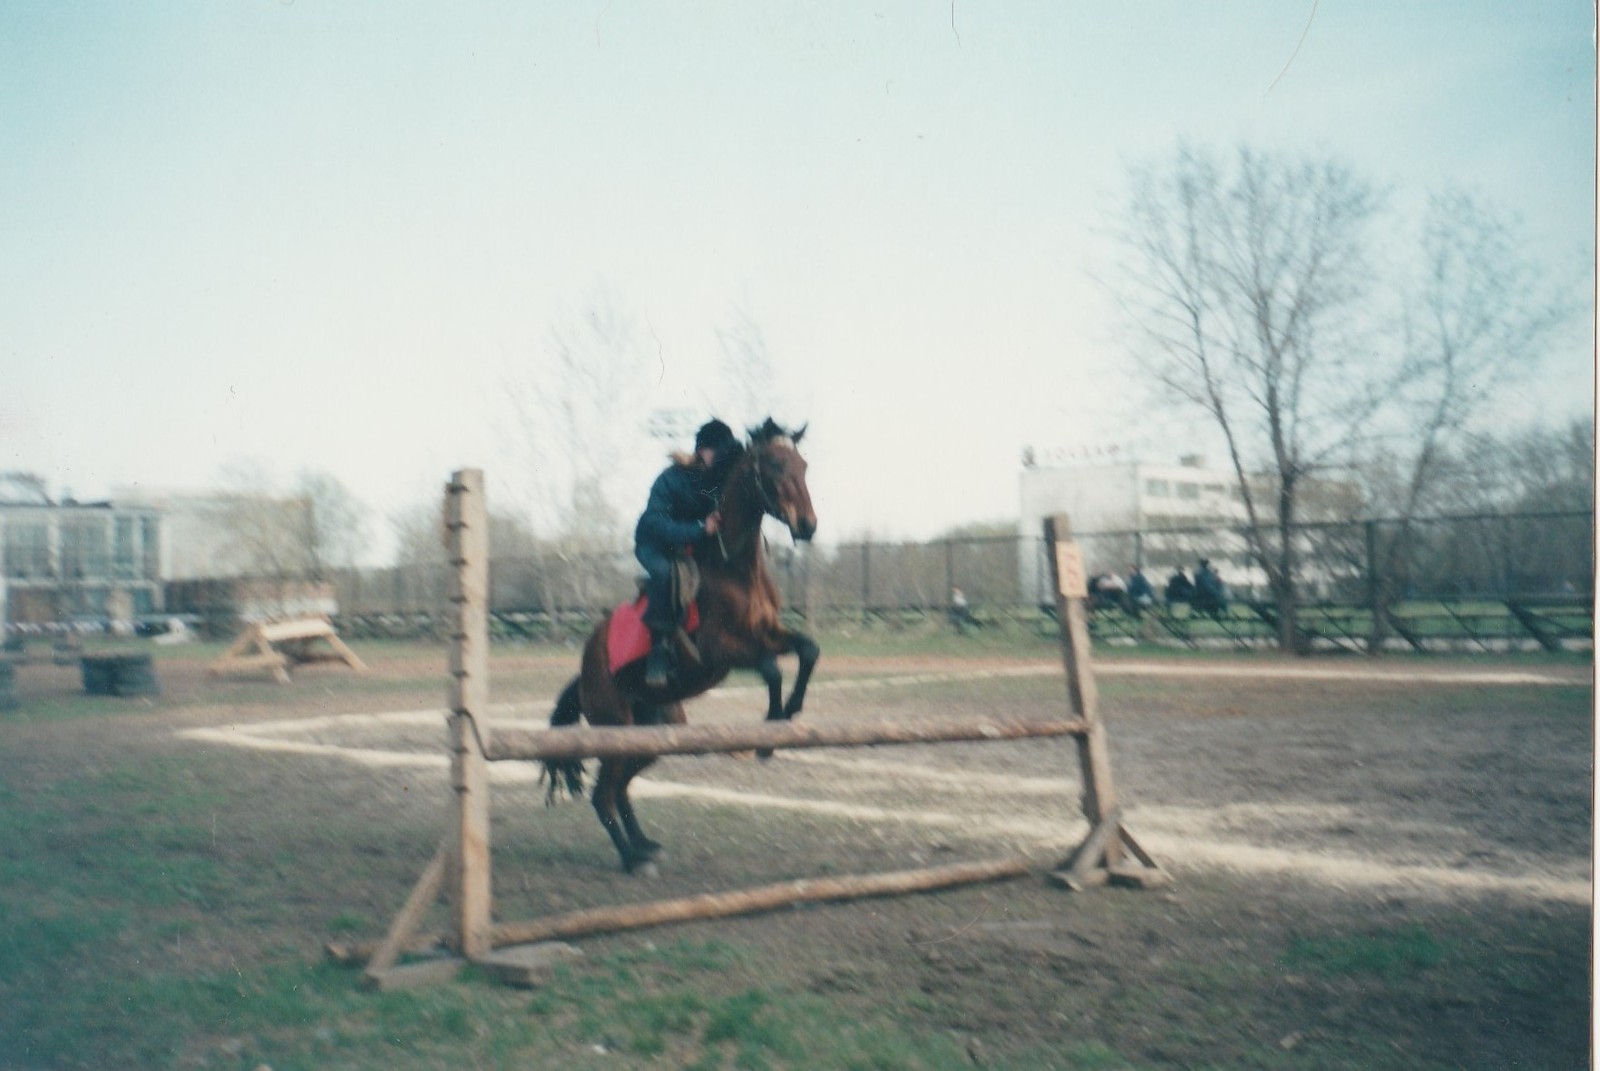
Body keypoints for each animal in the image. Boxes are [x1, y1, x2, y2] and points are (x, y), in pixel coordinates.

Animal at [547, 416, 825, 870]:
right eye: (776, 467)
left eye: (803, 466)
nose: (807, 525)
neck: (734, 567)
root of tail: (585, 668)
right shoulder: (719, 650)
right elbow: (770, 668)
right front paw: (769, 731)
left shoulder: (768, 633)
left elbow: (808, 650)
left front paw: (789, 713)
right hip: (614, 728)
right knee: (603, 795)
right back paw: (633, 859)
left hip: (652, 733)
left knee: (620, 788)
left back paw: (643, 845)